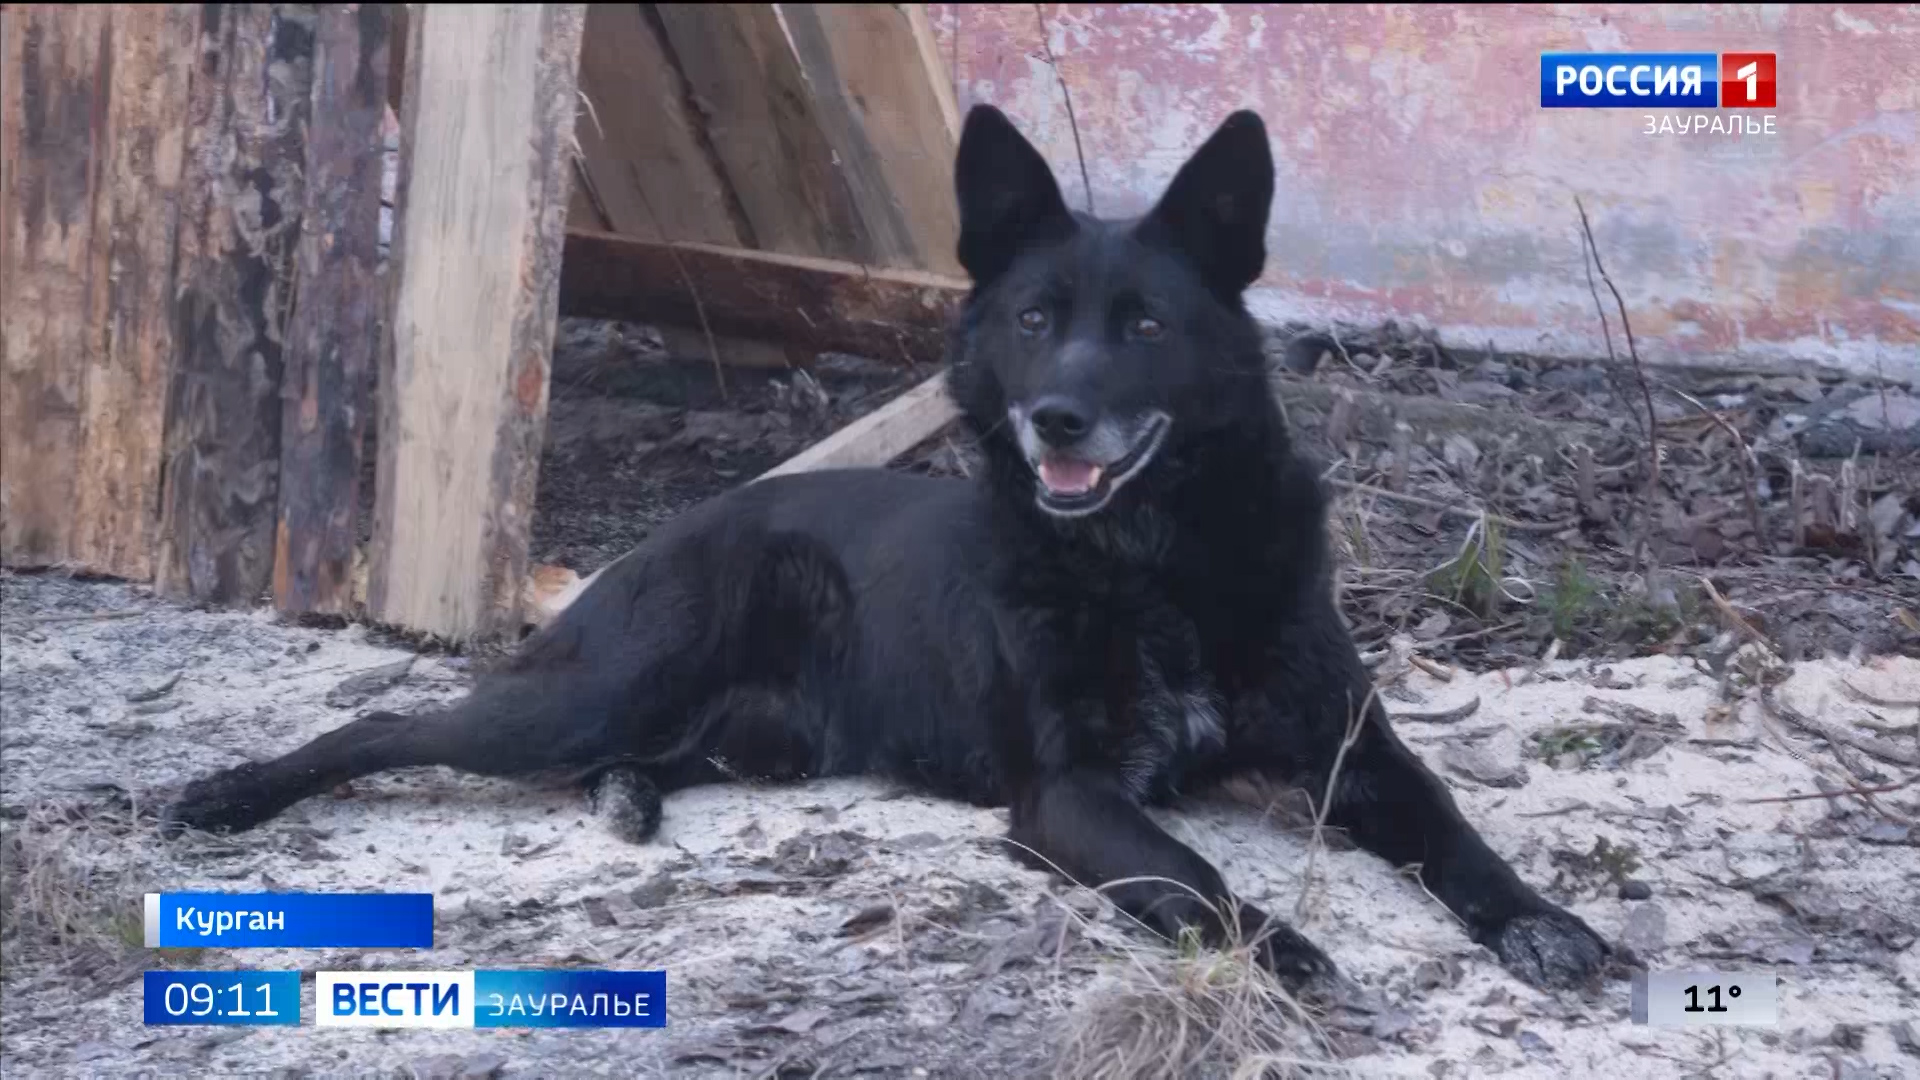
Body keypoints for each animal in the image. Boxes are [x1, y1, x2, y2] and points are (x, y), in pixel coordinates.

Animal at [161, 107, 1605, 983]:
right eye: (1032, 319)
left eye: (1145, 326)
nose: (1057, 415)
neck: (1154, 564)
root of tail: (683, 526)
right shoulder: (1070, 797)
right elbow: (1189, 873)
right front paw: (1277, 945)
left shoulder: (1354, 749)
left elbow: (1455, 833)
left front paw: (1547, 925)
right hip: (596, 688)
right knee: (394, 727)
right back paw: (230, 791)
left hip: (752, 735)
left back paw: (630, 795)